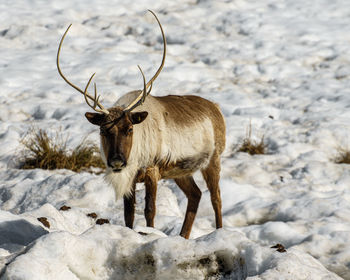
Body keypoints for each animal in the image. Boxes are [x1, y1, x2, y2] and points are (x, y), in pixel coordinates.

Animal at [56, 10, 226, 238]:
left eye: (129, 129)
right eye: (103, 130)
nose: (117, 161)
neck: (133, 155)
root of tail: (215, 107)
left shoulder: (151, 170)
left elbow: (149, 210)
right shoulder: (131, 177)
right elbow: (129, 213)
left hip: (213, 160)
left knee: (216, 198)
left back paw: (219, 232)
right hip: (180, 171)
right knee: (196, 194)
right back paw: (183, 236)